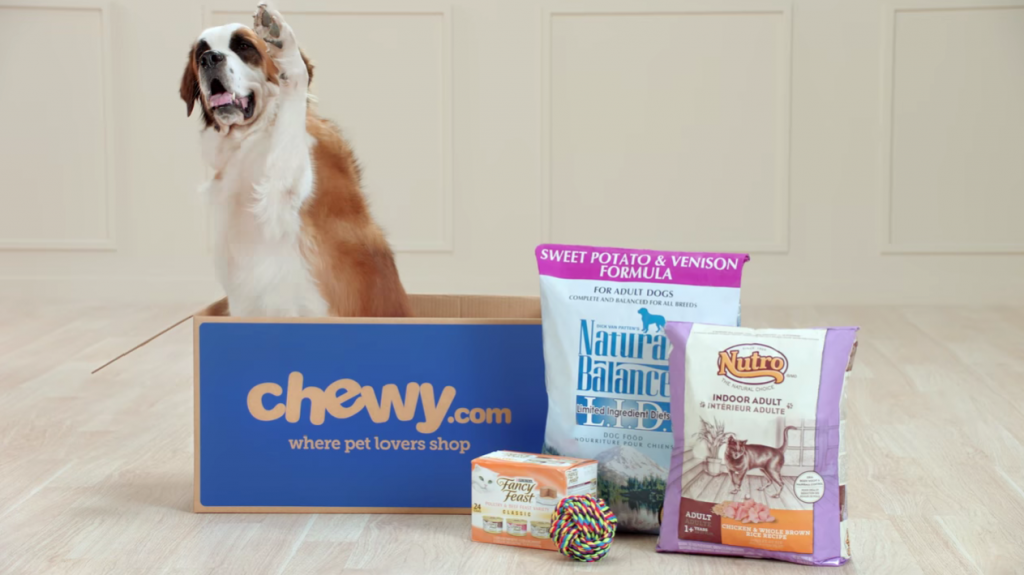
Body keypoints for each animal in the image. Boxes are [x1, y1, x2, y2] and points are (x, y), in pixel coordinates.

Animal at [180, 2, 411, 315]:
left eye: (243, 46)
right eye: (200, 52)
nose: (209, 58)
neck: (249, 138)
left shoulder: (286, 190)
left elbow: (292, 112)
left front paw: (282, 43)